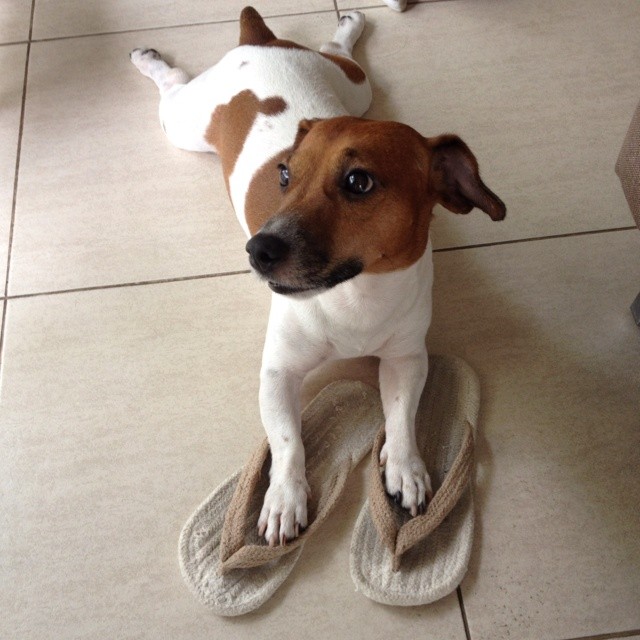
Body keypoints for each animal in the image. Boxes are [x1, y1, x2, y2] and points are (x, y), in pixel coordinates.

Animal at [132, 6, 508, 544]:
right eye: (285, 174)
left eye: (359, 182)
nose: (257, 250)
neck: (355, 294)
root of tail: (261, 41)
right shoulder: (278, 372)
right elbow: (288, 441)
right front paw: (284, 497)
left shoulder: (406, 358)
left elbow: (402, 414)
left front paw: (406, 466)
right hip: (184, 122)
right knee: (173, 84)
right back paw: (150, 60)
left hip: (354, 85)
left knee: (338, 50)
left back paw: (348, 23)